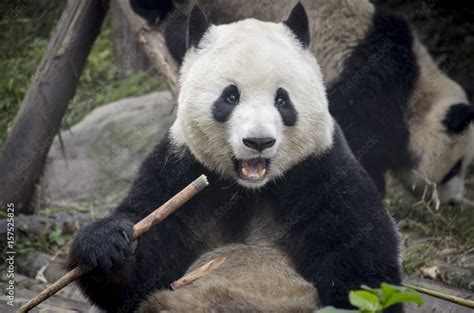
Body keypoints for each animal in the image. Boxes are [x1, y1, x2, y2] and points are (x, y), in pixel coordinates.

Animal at [69, 4, 404, 312]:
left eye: (282, 100)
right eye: (230, 96)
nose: (259, 141)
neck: (250, 190)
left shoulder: (323, 171)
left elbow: (359, 264)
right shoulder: (179, 169)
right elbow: (141, 274)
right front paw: (108, 244)